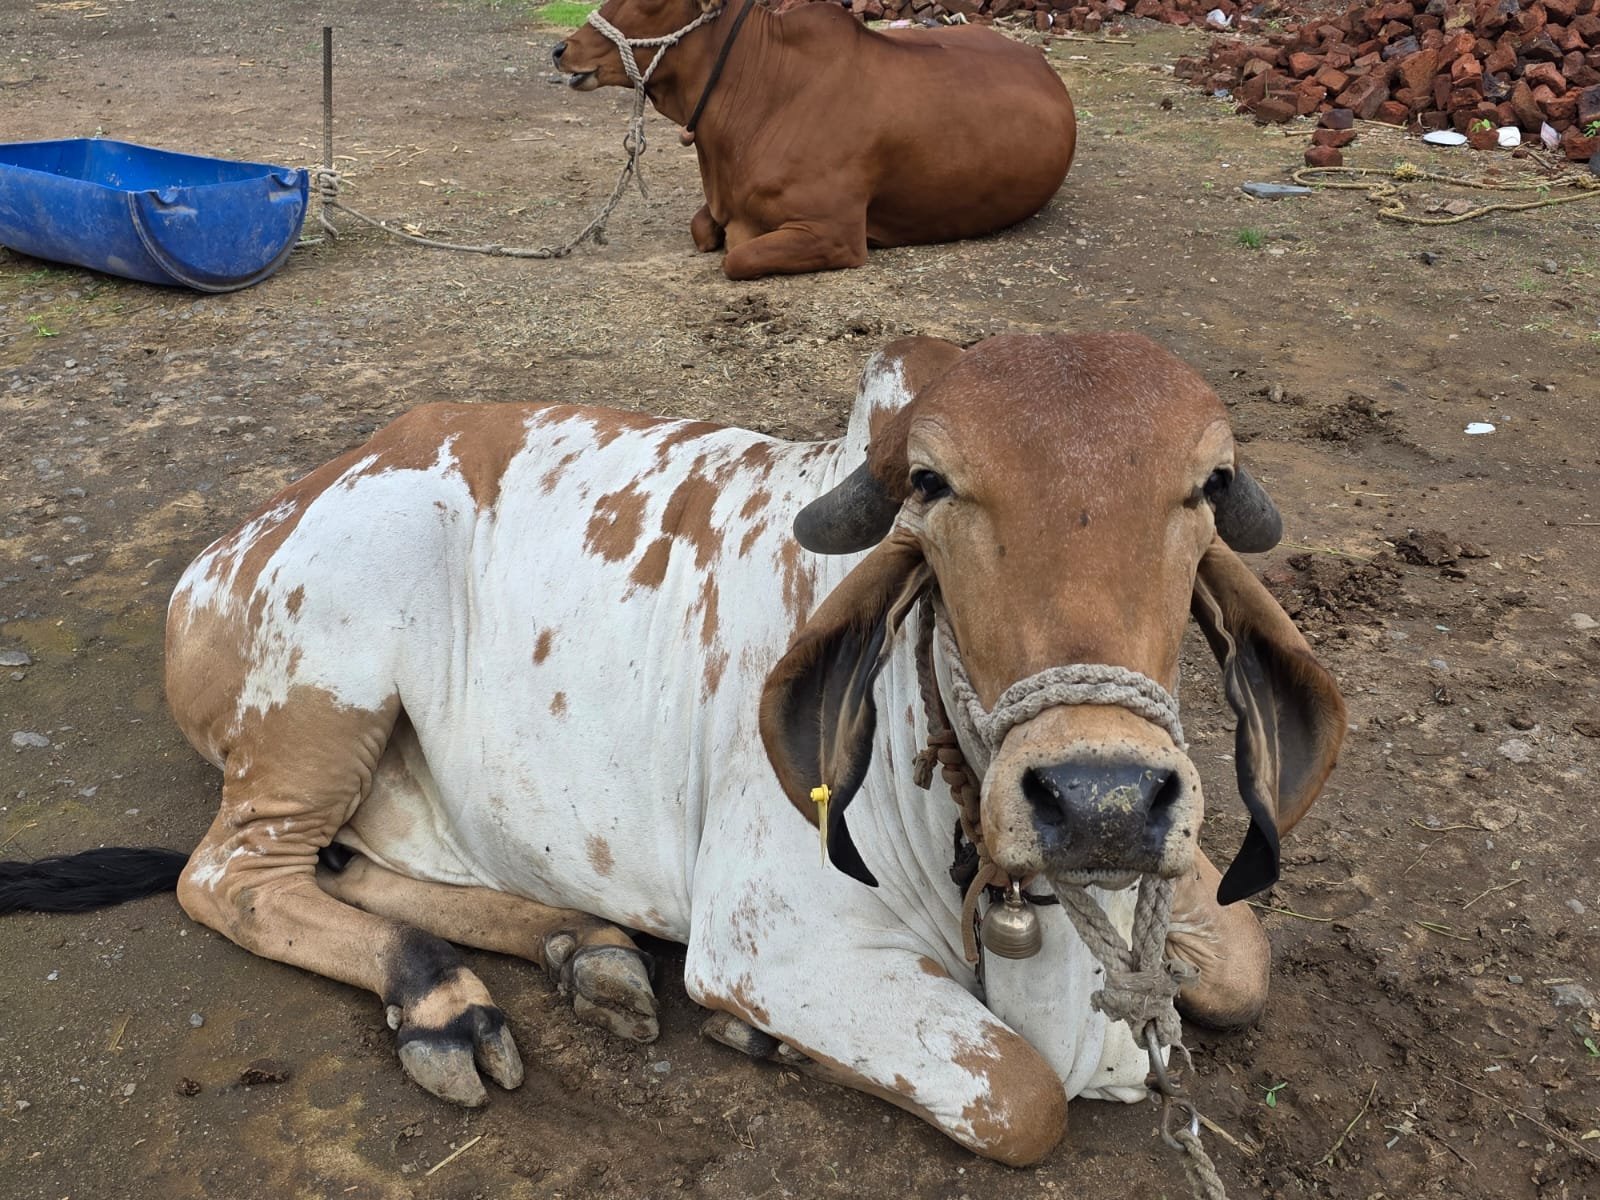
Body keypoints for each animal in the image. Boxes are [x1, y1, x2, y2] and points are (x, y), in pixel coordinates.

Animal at [1, 332, 1345, 1166]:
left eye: (1208, 483)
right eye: (931, 482)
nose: (1100, 798)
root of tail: (229, 548)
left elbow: (1245, 962)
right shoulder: (773, 942)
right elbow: (1021, 1099)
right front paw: (765, 1039)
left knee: (353, 867)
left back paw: (574, 949)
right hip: (325, 688)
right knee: (231, 876)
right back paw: (441, 1002)